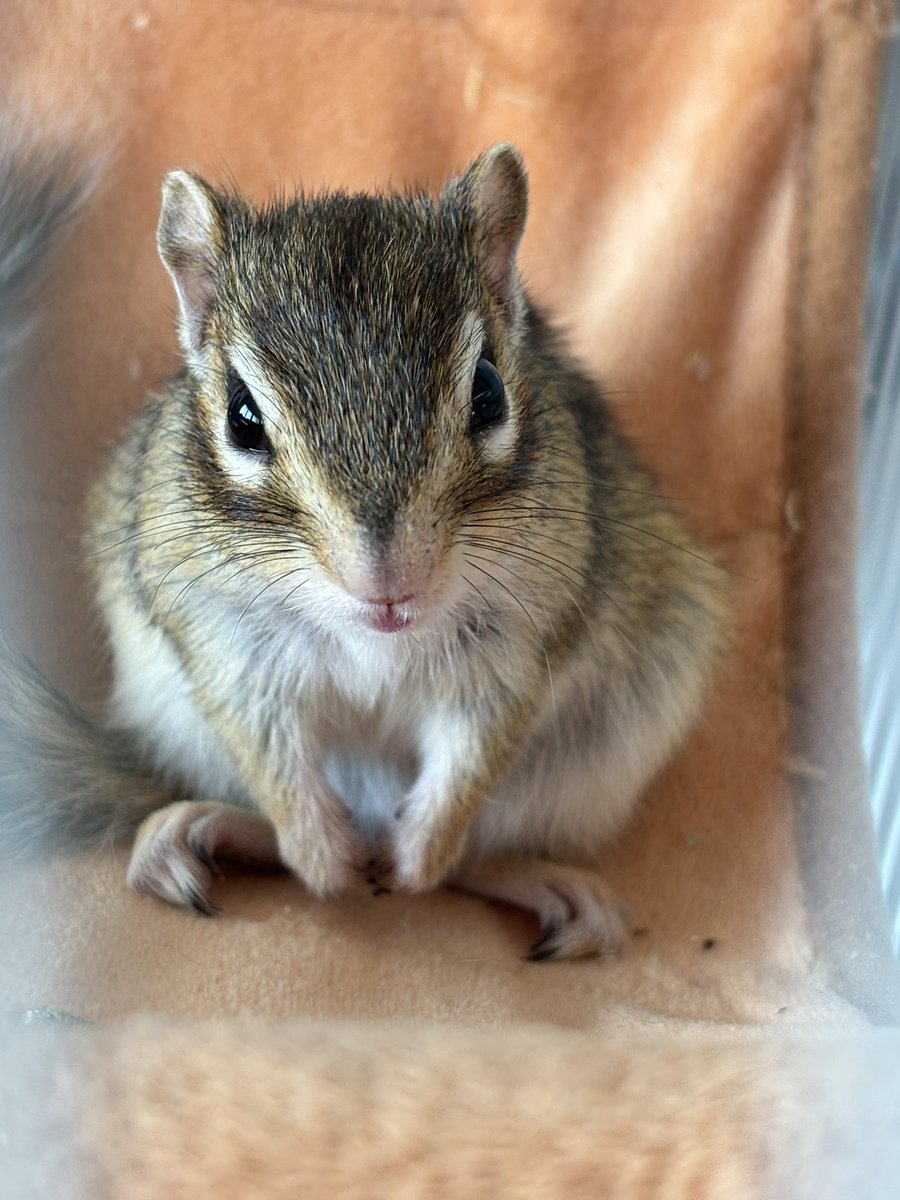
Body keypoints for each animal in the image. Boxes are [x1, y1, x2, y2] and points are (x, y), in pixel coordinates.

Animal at [0, 142, 726, 960]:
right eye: (242, 417)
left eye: (488, 390)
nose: (389, 583)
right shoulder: (227, 644)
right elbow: (270, 751)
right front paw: (321, 859)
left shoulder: (517, 643)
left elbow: (472, 750)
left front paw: (422, 850)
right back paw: (223, 832)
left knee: (474, 857)